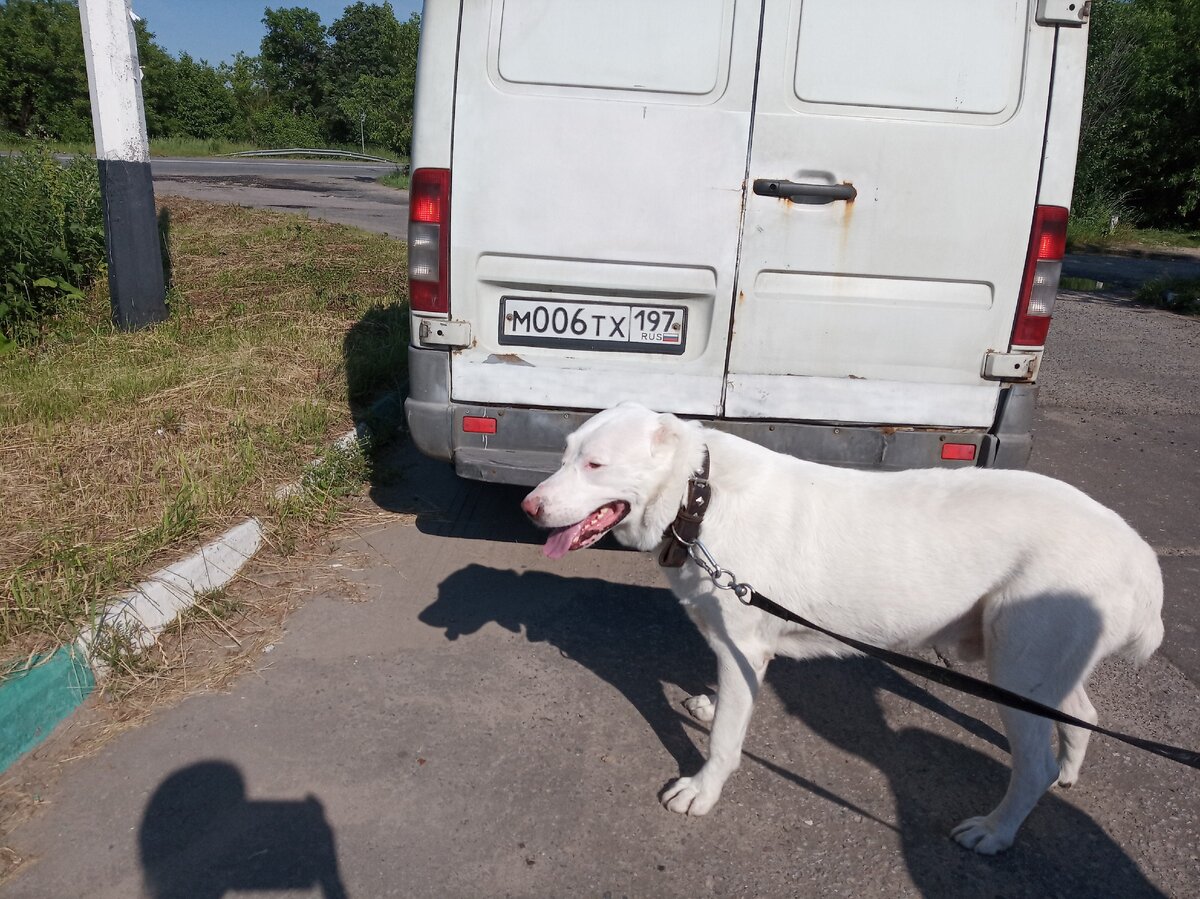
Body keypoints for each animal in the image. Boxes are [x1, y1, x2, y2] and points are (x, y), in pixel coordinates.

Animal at [523, 403, 1161, 854]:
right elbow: (724, 705)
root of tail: (1137, 550)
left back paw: (998, 832)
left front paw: (703, 790)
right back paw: (1068, 775)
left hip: (1017, 667)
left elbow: (725, 740)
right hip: (1036, 668)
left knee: (1033, 765)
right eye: (563, 455)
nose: (530, 507)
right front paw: (709, 706)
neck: (698, 499)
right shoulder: (732, 648)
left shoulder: (744, 647)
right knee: (1080, 715)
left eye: (595, 465)